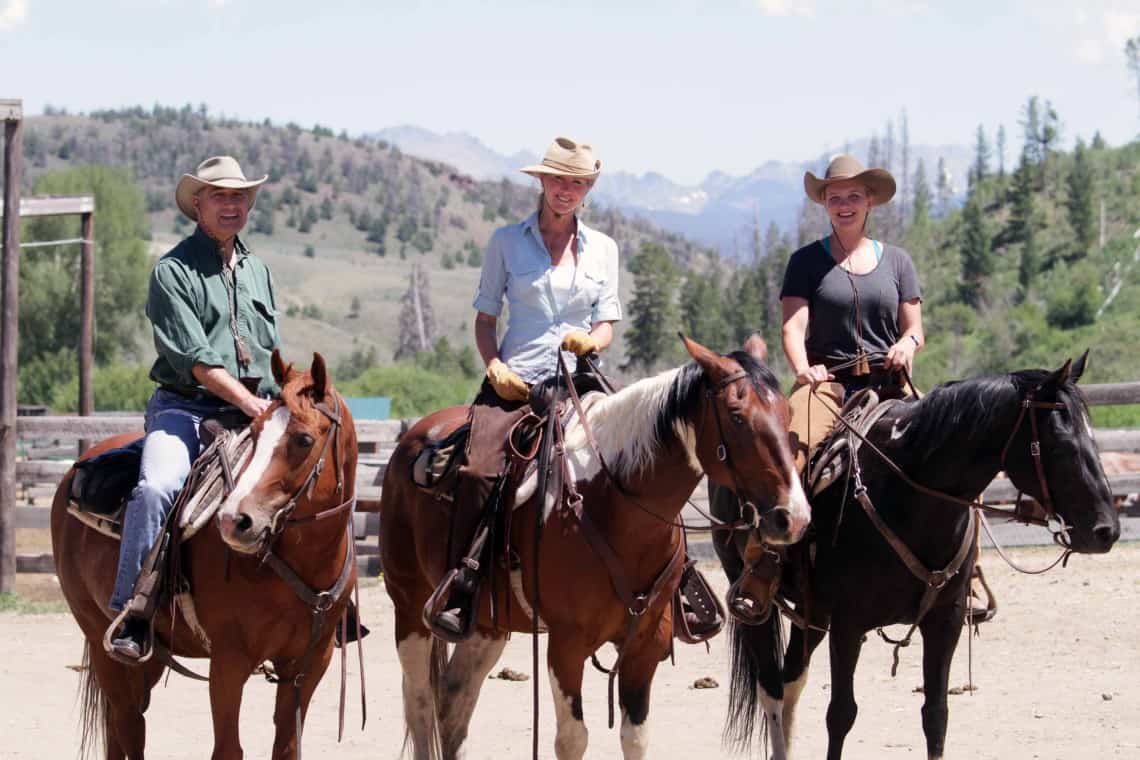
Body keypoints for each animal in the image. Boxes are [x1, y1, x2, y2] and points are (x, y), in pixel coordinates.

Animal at [50, 355, 355, 760]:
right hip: (98, 633)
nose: (235, 520)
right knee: (127, 723)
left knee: (122, 726)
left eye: (304, 439)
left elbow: (287, 746)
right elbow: (228, 748)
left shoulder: (308, 665)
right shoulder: (228, 661)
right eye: (255, 432)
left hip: (151, 657)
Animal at [378, 339, 807, 760]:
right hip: (409, 607)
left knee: (453, 701)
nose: (794, 518)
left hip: (487, 623)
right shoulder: (565, 646)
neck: (614, 506)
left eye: (788, 413)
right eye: (736, 416)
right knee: (420, 703)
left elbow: (635, 739)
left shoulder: (646, 644)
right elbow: (572, 740)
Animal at [711, 357, 1121, 760]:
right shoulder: (848, 625)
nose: (1107, 530)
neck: (909, 495)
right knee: (772, 689)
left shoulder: (945, 620)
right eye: (1060, 444)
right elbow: (841, 714)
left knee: (792, 679)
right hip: (756, 600)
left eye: (1092, 436)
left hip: (813, 612)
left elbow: (936, 715)